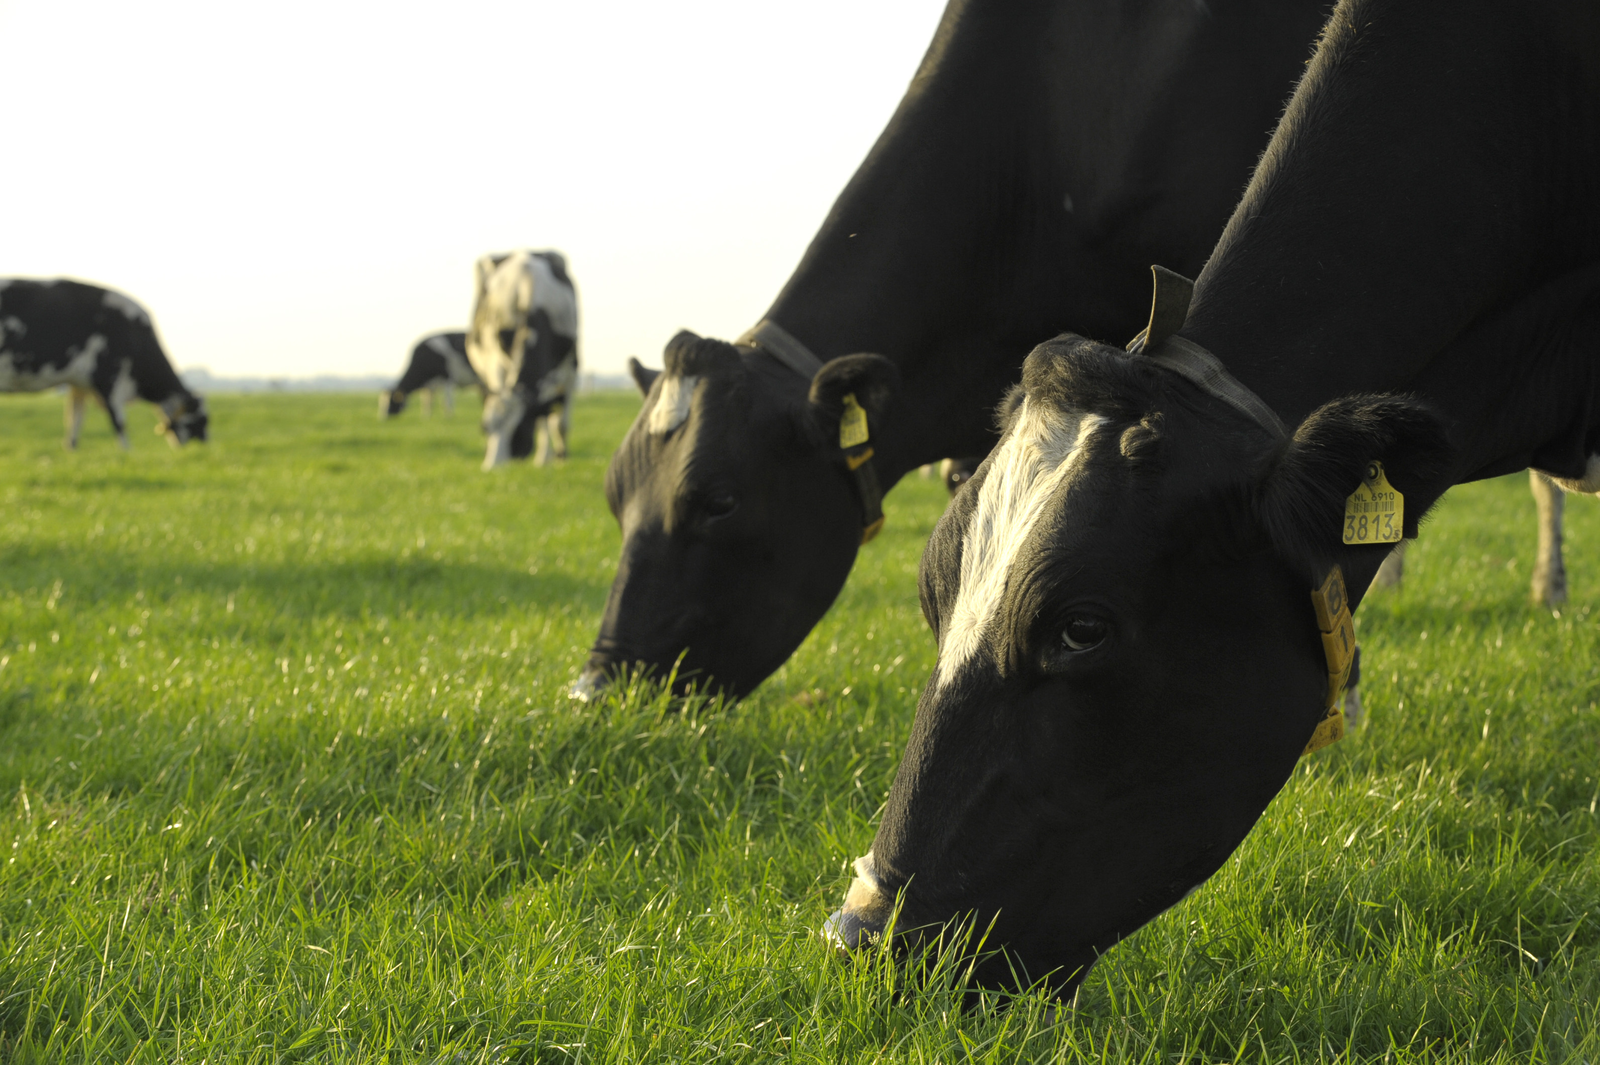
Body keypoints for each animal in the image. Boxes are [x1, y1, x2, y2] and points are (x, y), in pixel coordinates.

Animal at [0, 275, 208, 444]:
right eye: (203, 420)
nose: (206, 444)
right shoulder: (109, 378)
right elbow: (119, 424)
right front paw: (127, 459)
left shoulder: (79, 385)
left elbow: (74, 426)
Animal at [467, 249, 579, 470]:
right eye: (485, 428)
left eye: (517, 429)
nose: (491, 468)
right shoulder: (496, 362)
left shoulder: (569, 368)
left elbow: (557, 422)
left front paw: (554, 459)